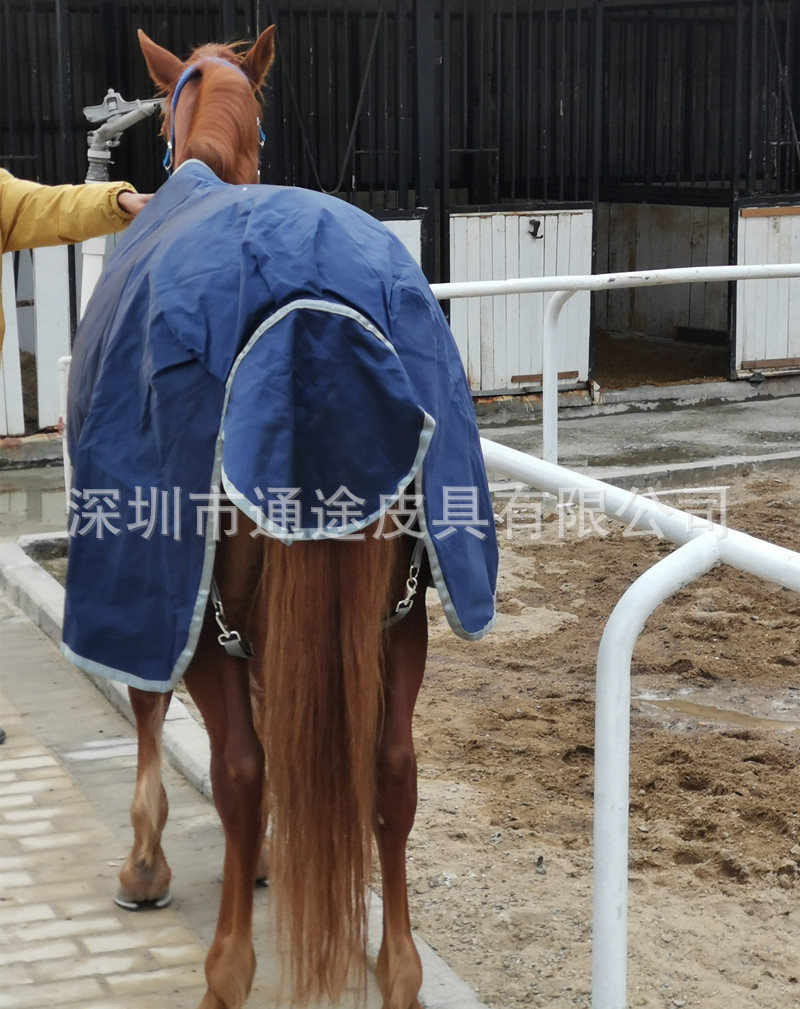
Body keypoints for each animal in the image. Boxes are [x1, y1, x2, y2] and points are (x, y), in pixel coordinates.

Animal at [63, 26, 497, 1009]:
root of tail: (311, 309)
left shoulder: (160, 590)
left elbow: (157, 708)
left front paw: (147, 861)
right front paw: (262, 858)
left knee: (239, 767)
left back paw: (227, 968)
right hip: (401, 614)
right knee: (392, 769)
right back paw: (399, 968)